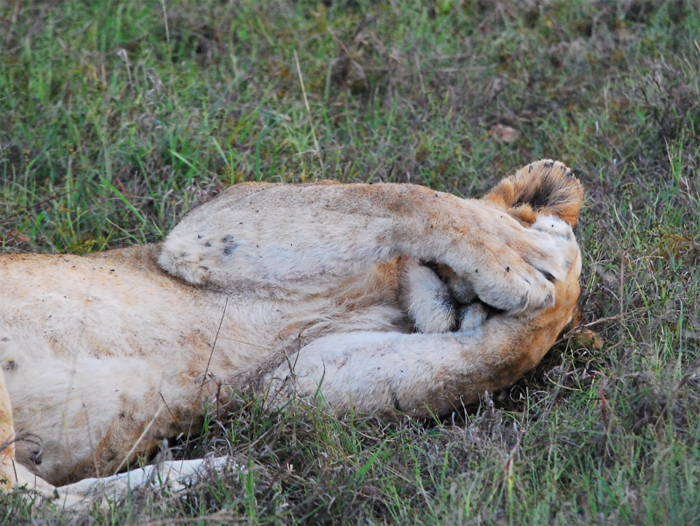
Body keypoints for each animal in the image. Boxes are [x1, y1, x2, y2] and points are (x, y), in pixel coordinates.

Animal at [0, 159, 583, 503]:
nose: (471, 299)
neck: (393, 295)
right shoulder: (210, 226)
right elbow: (405, 197)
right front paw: (525, 261)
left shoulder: (285, 383)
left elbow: (494, 359)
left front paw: (540, 312)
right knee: (30, 501)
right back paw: (213, 474)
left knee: (44, 503)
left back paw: (214, 474)